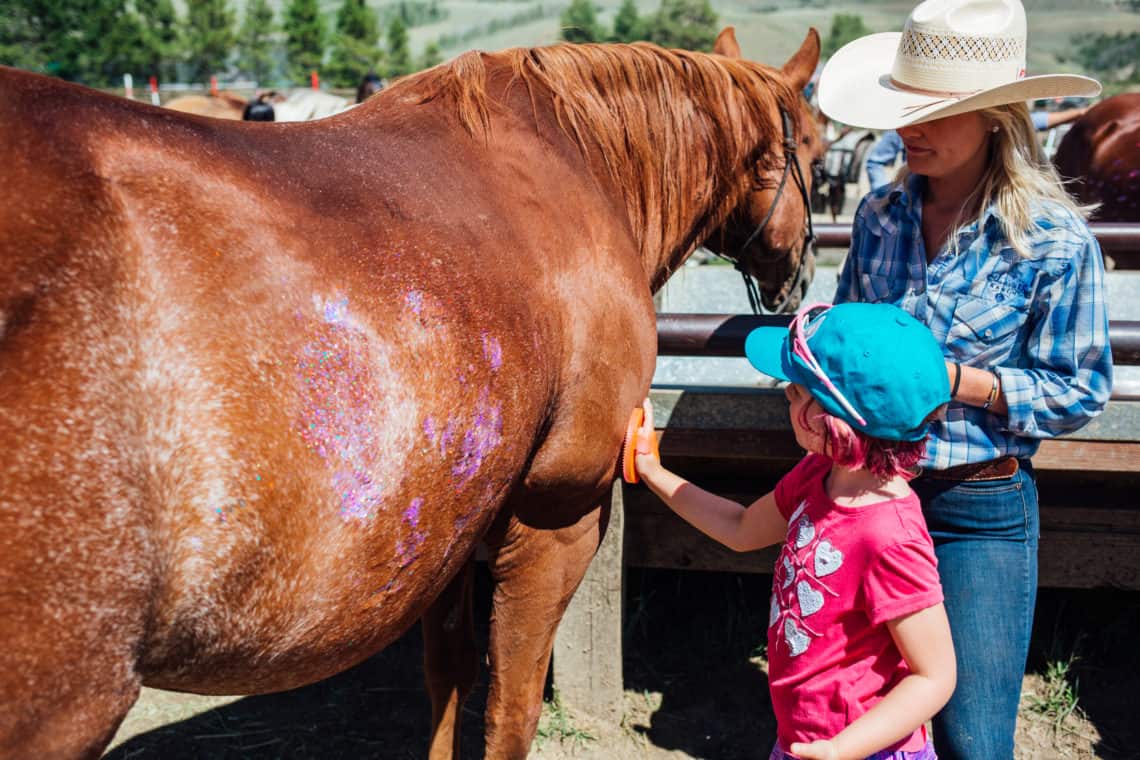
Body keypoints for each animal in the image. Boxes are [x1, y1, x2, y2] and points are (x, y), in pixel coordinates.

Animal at [0, 26, 820, 756]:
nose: (802, 277)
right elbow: (512, 706)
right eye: (814, 146)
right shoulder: (557, 515)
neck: (574, 163)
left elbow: (447, 682)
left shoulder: (449, 526)